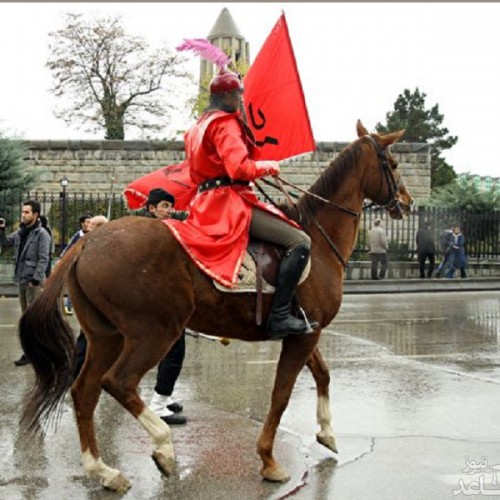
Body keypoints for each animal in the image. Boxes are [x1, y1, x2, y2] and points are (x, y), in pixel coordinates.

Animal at [18, 121, 410, 492]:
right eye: (392, 164)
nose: (405, 202)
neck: (317, 237)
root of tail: (89, 241)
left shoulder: (302, 330)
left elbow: (323, 374)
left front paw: (326, 432)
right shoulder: (302, 336)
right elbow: (281, 395)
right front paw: (268, 460)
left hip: (106, 337)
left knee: (84, 392)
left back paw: (104, 470)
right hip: (154, 333)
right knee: (119, 382)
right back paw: (163, 446)